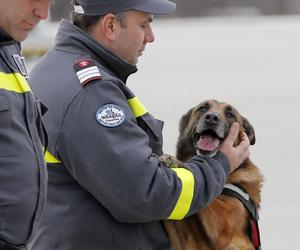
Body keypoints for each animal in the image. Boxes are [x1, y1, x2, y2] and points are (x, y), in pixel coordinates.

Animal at [163, 99, 264, 250]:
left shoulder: (224, 222)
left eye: (230, 114)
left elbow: (208, 199)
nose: (211, 118)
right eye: (202, 108)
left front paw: (176, 161)